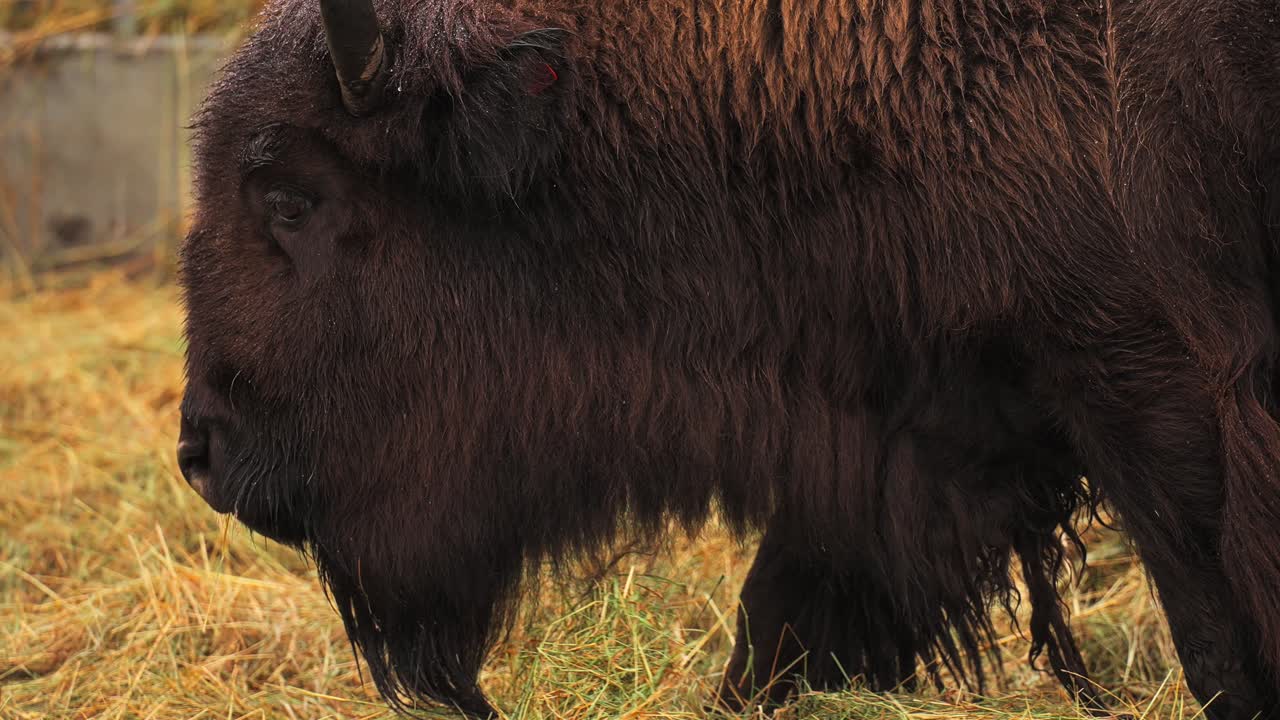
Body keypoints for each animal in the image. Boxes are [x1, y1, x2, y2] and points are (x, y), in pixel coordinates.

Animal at [175, 0, 1280, 717]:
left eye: (290, 197)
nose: (203, 457)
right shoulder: (927, 418)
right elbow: (775, 626)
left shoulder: (1155, 393)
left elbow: (1220, 643)